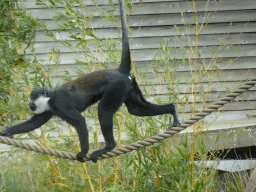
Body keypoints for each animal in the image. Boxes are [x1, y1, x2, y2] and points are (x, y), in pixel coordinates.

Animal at [0, 0, 181, 163]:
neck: (50, 98)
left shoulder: (60, 103)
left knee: (104, 110)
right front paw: (4, 132)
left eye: (32, 98)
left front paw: (83, 151)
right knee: (136, 109)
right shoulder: (50, 107)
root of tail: (119, 71)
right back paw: (172, 109)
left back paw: (108, 147)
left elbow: (80, 121)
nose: (30, 104)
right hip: (128, 85)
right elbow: (34, 123)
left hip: (117, 87)